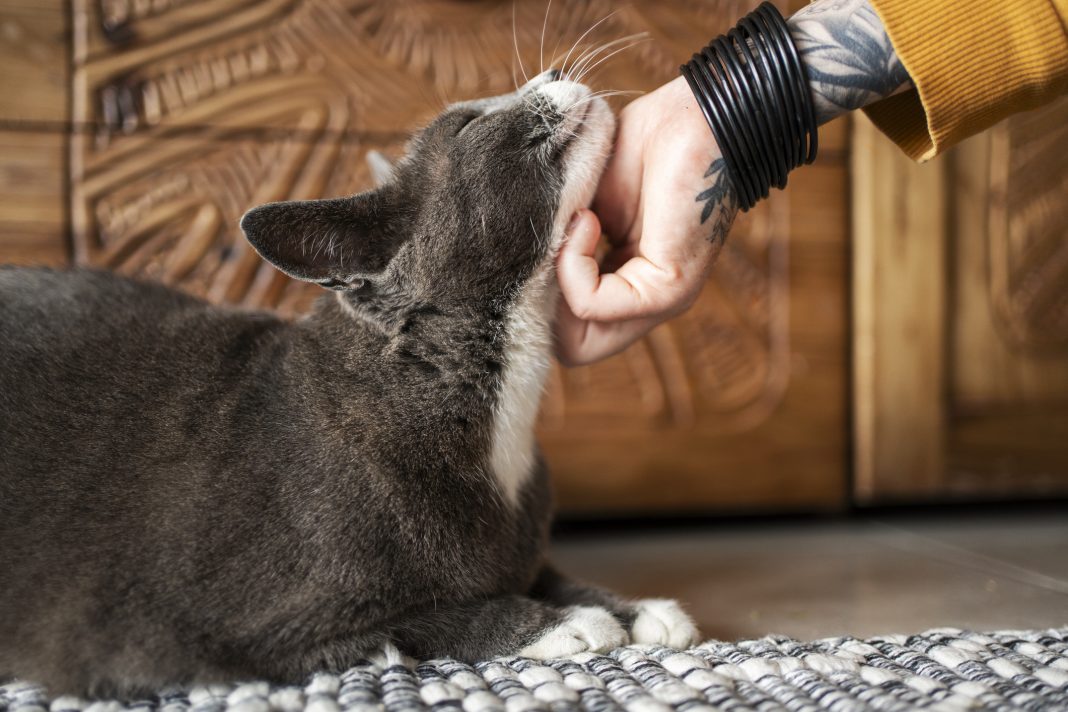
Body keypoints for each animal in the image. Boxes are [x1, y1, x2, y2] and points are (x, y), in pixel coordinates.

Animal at [0, 73, 696, 700]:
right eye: (467, 125)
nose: (550, 72)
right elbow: (419, 619)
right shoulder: (241, 632)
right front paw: (565, 623)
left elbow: (540, 568)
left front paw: (633, 609)